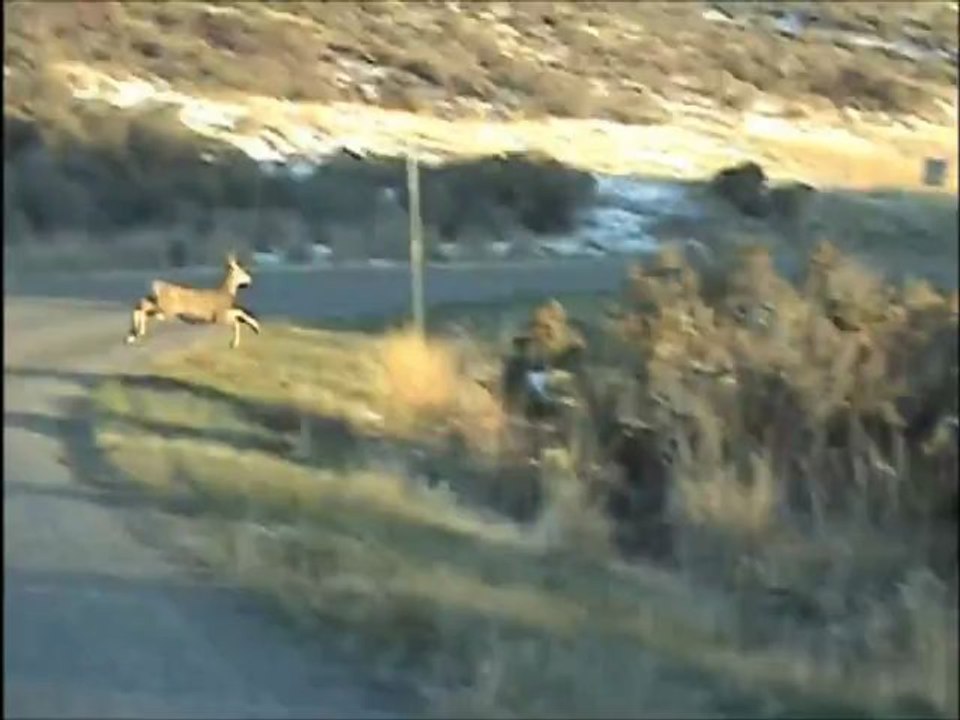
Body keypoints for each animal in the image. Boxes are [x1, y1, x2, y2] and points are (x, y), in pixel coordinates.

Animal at [125, 253, 260, 349]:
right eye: (242, 271)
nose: (250, 280)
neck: (224, 293)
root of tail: (157, 284)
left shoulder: (221, 313)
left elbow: (239, 313)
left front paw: (255, 329)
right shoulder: (218, 316)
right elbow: (237, 320)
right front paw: (235, 343)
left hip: (160, 304)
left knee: (141, 304)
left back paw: (133, 335)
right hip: (166, 307)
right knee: (144, 308)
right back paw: (139, 332)